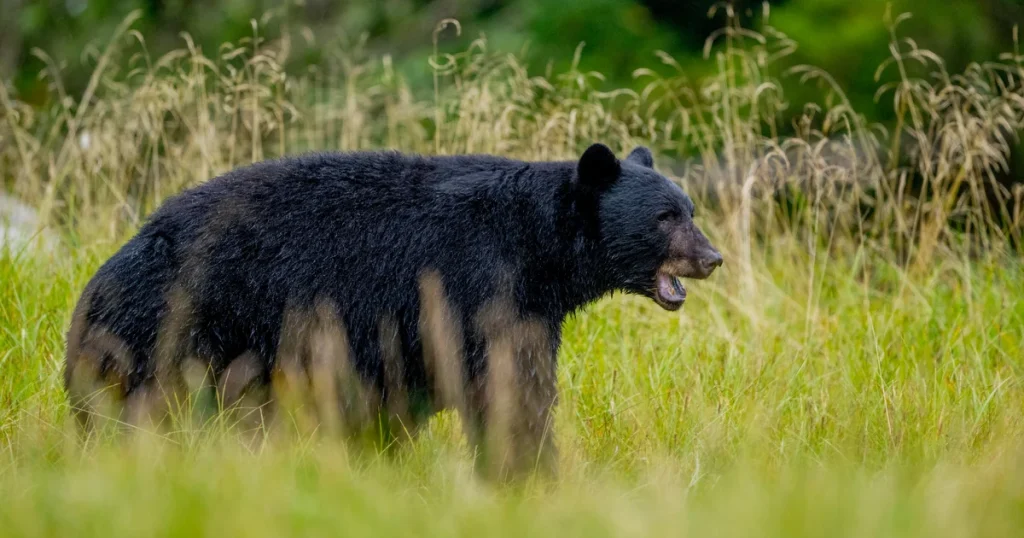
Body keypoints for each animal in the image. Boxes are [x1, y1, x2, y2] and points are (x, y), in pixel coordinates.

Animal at [64, 143, 722, 478]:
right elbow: (508, 386)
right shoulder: (474, 287)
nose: (712, 257)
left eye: (690, 208)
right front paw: (527, 472)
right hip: (173, 330)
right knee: (148, 406)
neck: (540, 250)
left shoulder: (520, 306)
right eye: (666, 217)